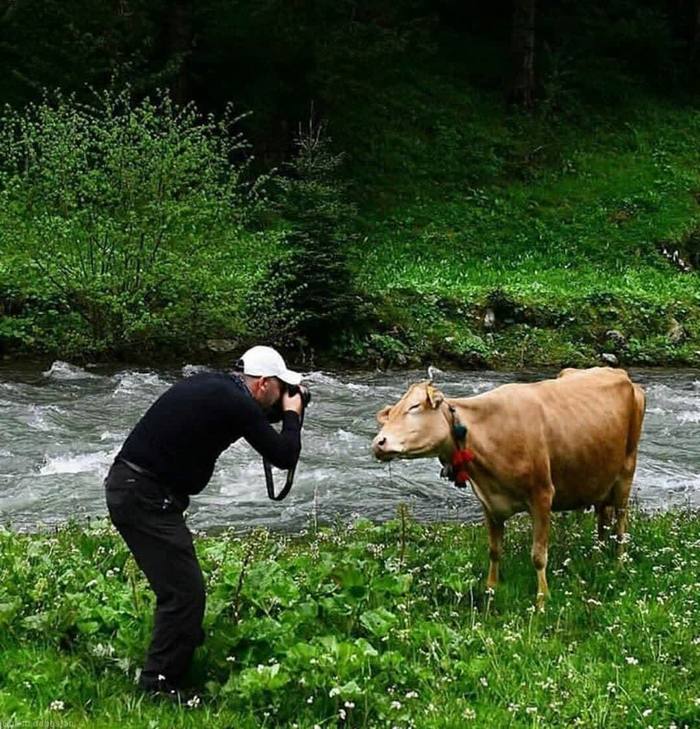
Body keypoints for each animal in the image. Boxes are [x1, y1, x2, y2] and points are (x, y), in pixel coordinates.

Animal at [372, 366, 644, 604]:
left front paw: (542, 600)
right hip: (600, 476)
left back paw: (618, 563)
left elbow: (538, 555)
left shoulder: (542, 495)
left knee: (621, 521)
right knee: (603, 517)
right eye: (391, 413)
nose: (378, 443)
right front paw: (491, 590)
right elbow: (494, 550)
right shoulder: (489, 502)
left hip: (626, 472)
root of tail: (620, 373)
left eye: (414, 407)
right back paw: (598, 557)